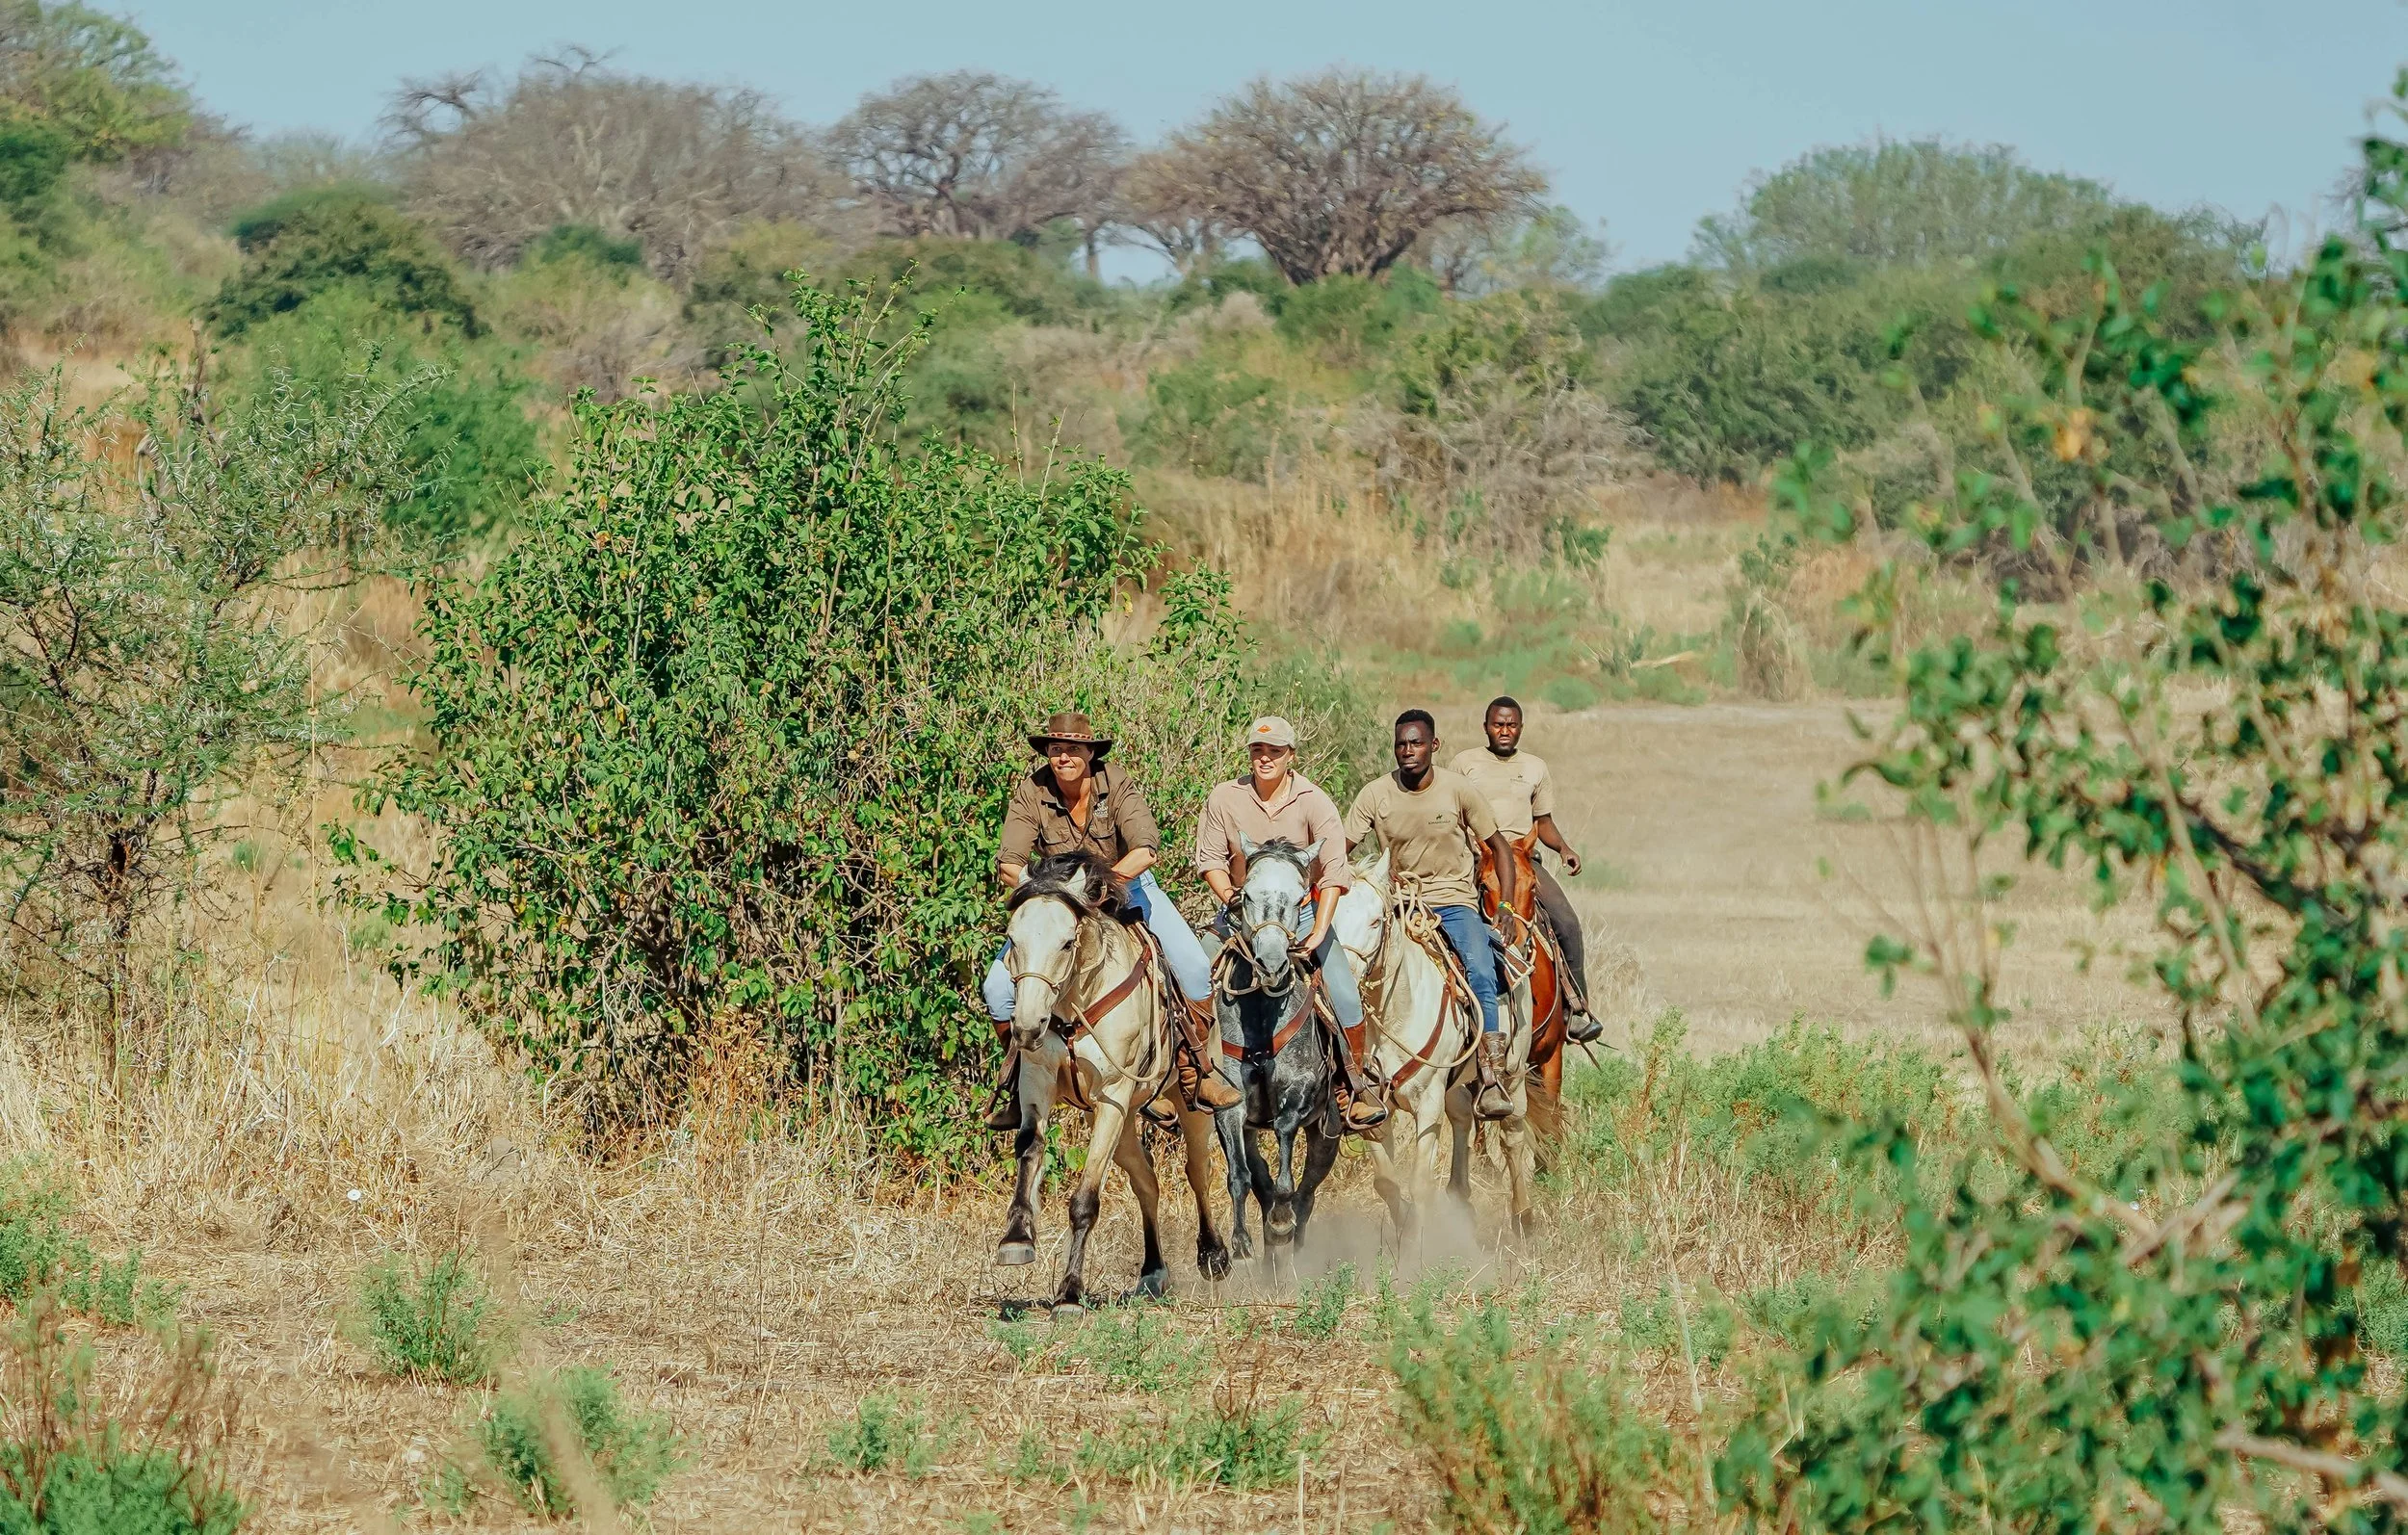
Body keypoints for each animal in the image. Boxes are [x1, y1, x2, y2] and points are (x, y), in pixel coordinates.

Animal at [992, 851, 1232, 1313]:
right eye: (1013, 939)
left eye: (1067, 943)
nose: (1027, 1027)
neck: (1073, 1003)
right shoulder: (1038, 1081)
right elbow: (1029, 1147)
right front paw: (1016, 1238)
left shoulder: (1112, 1095)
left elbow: (1085, 1199)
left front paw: (1069, 1293)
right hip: (1119, 1125)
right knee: (1146, 1183)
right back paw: (1153, 1271)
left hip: (1188, 1108)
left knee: (1198, 1171)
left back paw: (1214, 1255)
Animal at [1208, 837, 1343, 1268]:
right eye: (1247, 895)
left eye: (1300, 897)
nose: (1270, 963)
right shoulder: (1230, 1105)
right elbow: (1241, 1177)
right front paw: (1240, 1243)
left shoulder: (1300, 1088)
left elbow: (1285, 1129)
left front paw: (1282, 1221)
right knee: (1261, 1180)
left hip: (1328, 1132)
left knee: (1308, 1192)